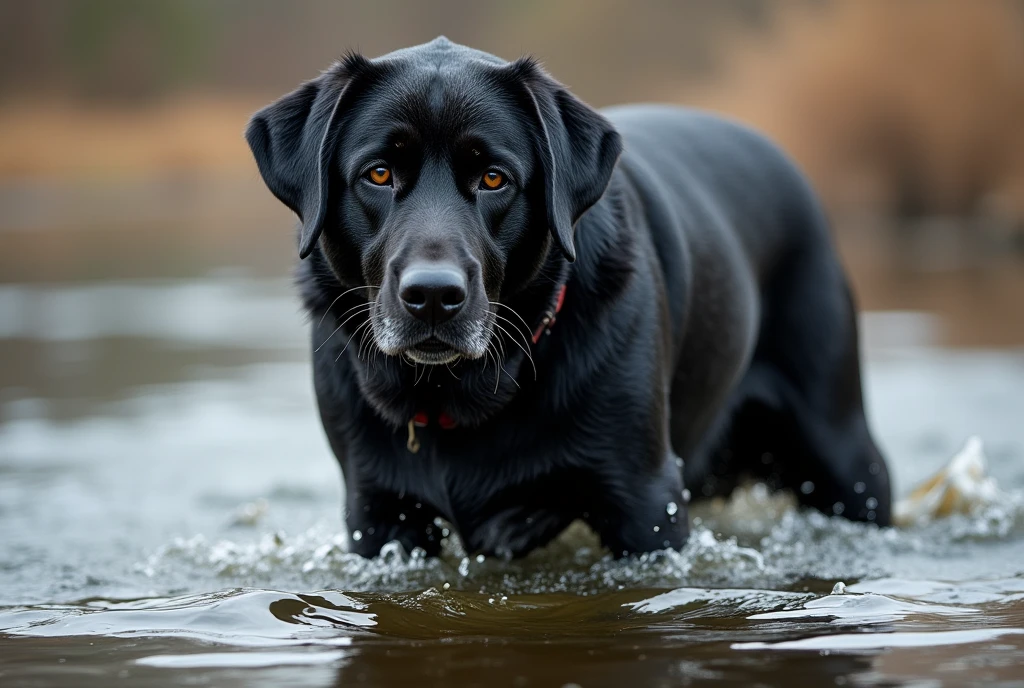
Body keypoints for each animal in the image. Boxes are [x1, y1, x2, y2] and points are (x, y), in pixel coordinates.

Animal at [245, 36, 888, 556]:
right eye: (378, 174)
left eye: (494, 178)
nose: (431, 295)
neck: (462, 394)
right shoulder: (380, 516)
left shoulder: (647, 503)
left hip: (844, 454)